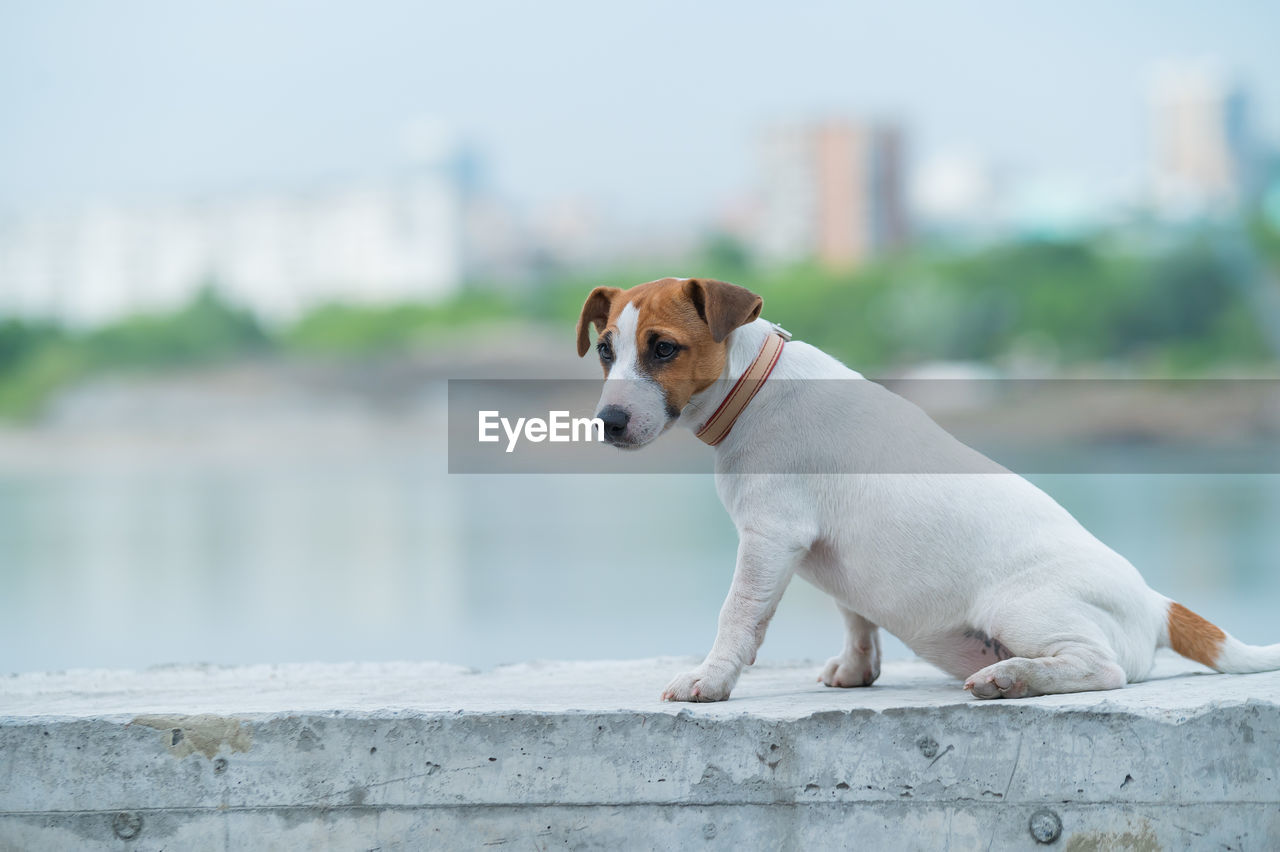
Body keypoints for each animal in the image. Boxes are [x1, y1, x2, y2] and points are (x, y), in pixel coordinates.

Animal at [578, 275, 1280, 701]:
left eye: (664, 348)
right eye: (607, 351)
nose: (606, 421)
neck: (752, 383)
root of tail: (1157, 604)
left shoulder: (771, 538)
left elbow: (738, 615)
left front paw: (711, 679)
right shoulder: (825, 553)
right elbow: (854, 615)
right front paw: (857, 670)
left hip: (1020, 606)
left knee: (1101, 667)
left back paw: (1012, 677)